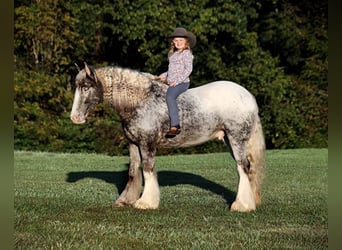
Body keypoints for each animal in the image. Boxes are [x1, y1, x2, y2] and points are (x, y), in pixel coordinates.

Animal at [71, 61, 266, 212]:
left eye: (86, 87)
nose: (75, 118)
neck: (140, 101)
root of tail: (248, 97)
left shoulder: (147, 143)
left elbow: (148, 169)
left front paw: (146, 202)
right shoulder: (133, 144)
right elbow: (133, 171)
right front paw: (125, 200)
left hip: (236, 139)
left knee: (243, 167)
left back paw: (242, 205)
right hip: (229, 140)